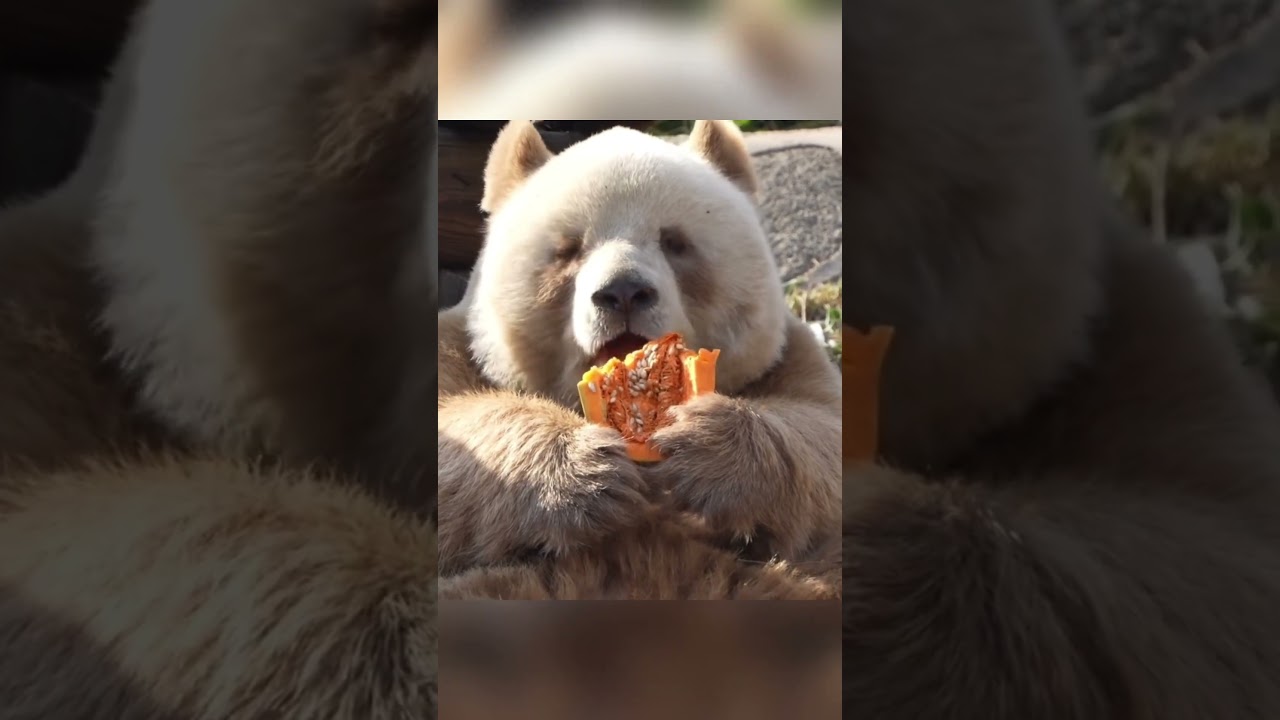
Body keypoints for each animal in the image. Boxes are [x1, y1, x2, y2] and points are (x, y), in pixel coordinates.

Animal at [437, 119, 841, 598]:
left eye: (674, 241)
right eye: (569, 249)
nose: (623, 292)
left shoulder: (786, 358)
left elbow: (823, 430)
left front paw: (705, 448)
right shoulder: (461, 349)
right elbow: (452, 433)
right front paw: (587, 472)